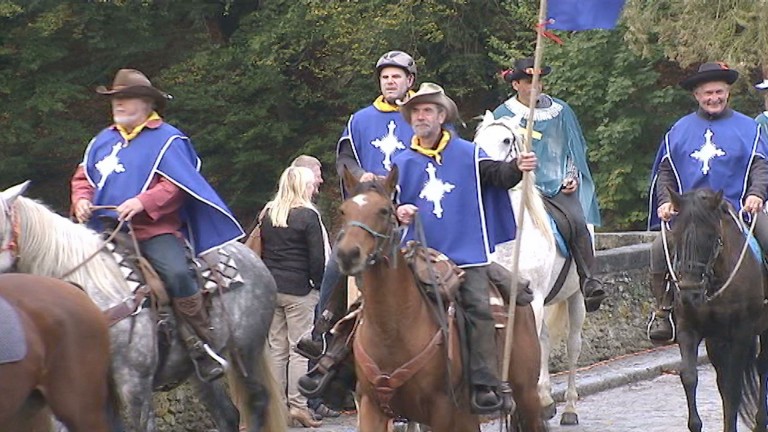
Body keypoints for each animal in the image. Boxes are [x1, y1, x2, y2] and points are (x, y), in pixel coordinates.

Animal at [338, 168, 544, 432]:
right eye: (344, 210)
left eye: (383, 210)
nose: (347, 254)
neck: (392, 329)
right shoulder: (370, 407)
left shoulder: (441, 409)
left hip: (527, 394)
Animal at [474, 110, 588, 426]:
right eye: (476, 140)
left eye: (505, 140)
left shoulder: (532, 299)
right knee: (546, 341)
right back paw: (547, 399)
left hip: (577, 298)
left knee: (572, 346)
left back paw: (569, 407)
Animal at [664, 190, 768, 432]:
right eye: (675, 238)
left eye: (712, 237)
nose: (689, 294)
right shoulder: (688, 329)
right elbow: (690, 377)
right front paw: (695, 424)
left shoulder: (741, 334)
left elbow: (733, 387)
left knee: (761, 365)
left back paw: (760, 421)